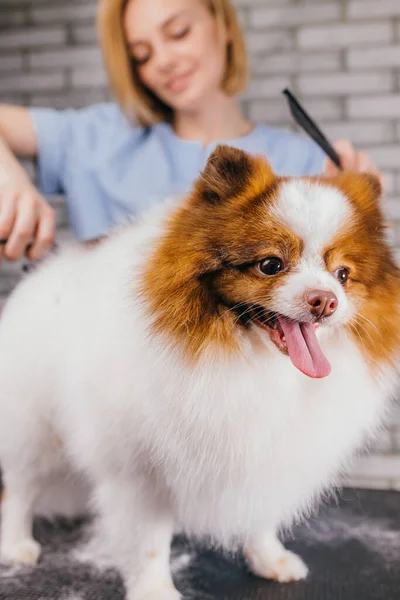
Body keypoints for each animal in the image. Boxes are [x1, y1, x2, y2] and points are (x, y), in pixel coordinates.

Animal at [0, 146, 400, 600]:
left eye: (343, 275)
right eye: (270, 265)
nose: (325, 300)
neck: (253, 364)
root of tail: (42, 274)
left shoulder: (265, 452)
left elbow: (259, 516)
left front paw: (270, 559)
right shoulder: (140, 466)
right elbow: (149, 540)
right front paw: (154, 590)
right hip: (34, 430)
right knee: (20, 489)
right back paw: (17, 544)